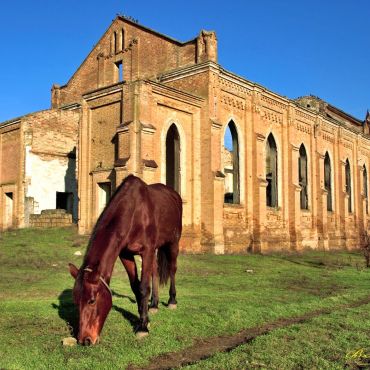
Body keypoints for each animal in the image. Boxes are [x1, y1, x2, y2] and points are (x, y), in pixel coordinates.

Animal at [68, 175, 182, 346]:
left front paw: (143, 327)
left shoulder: (146, 251)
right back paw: (154, 304)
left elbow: (143, 287)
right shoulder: (125, 254)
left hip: (173, 242)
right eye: (75, 301)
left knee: (172, 269)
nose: (85, 340)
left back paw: (172, 300)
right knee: (155, 270)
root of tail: (174, 194)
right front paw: (144, 318)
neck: (133, 213)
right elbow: (135, 287)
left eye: (92, 301)